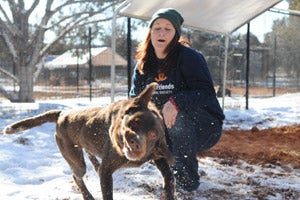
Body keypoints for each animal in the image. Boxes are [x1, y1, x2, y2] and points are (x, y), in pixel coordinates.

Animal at [2, 82, 175, 200]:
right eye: (134, 122)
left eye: (153, 135)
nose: (134, 142)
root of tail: (62, 114)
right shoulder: (107, 171)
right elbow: (107, 192)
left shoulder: (158, 155)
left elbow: (169, 175)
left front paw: (168, 192)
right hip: (76, 161)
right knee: (76, 175)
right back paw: (88, 195)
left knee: (90, 159)